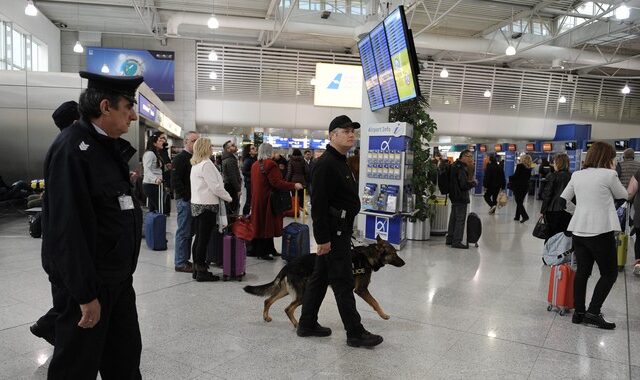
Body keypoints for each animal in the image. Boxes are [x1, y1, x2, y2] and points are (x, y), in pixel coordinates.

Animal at [242, 236, 402, 328]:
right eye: (394, 254)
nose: (404, 263)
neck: (369, 256)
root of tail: (289, 265)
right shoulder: (361, 290)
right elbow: (375, 302)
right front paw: (383, 315)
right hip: (301, 294)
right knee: (288, 308)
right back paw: (297, 324)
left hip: (285, 291)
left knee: (268, 300)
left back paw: (266, 317)